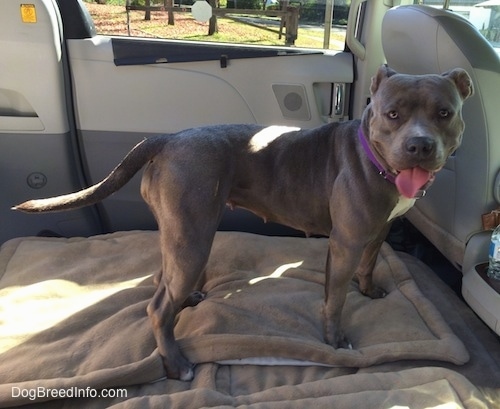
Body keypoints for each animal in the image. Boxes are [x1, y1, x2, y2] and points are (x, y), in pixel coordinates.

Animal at [12, 65, 472, 380]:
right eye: (392, 114)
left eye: (444, 112)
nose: (419, 146)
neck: (373, 159)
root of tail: (168, 139)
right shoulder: (345, 241)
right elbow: (335, 299)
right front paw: (335, 341)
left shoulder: (376, 233)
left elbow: (369, 263)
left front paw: (369, 288)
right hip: (195, 237)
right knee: (157, 306)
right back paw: (176, 363)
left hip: (178, 233)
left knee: (164, 278)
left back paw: (188, 301)